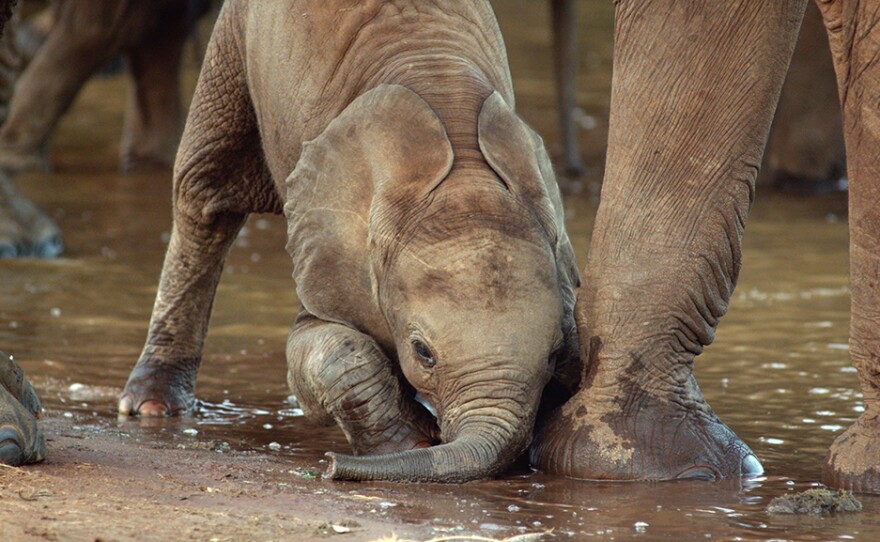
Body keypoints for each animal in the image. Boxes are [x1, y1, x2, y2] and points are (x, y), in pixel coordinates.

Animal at [117, 0, 582, 484]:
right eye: (423, 353)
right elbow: (320, 347)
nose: (329, 466)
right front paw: (411, 442)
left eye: (552, 354)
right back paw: (151, 407)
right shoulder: (329, 250)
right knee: (204, 194)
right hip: (234, 39)